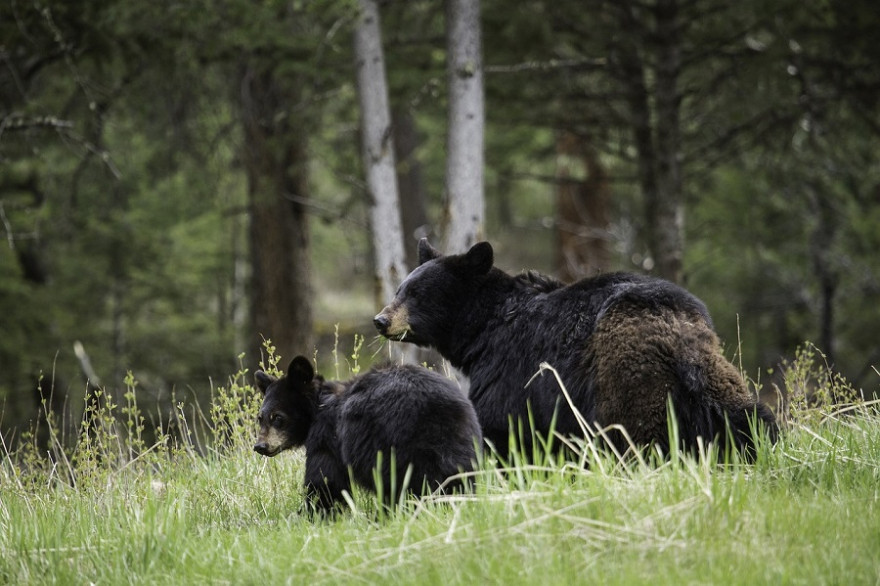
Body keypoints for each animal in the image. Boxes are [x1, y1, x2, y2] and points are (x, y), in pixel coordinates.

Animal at [254, 352, 482, 512]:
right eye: (260, 417)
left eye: (278, 417)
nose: (260, 446)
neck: (319, 405)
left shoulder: (328, 436)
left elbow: (325, 480)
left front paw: (313, 513)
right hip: (462, 442)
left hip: (393, 445)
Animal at [372, 240, 776, 458]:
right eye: (400, 289)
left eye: (418, 294)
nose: (380, 320)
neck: (483, 329)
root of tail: (677, 335)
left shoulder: (511, 369)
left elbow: (501, 425)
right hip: (716, 377)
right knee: (749, 418)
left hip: (627, 379)